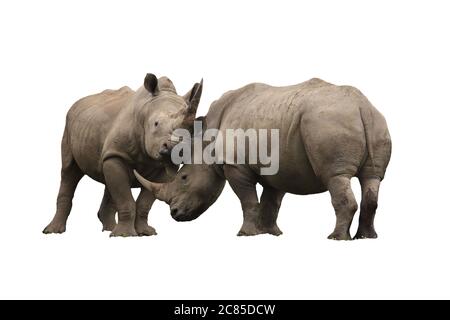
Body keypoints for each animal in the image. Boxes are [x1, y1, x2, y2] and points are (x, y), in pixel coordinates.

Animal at [43, 74, 202, 236]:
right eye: (156, 124)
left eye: (193, 131)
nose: (177, 149)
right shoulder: (117, 154)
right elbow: (125, 198)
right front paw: (124, 235)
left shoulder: (161, 169)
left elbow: (144, 201)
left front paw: (145, 232)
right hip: (69, 127)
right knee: (69, 171)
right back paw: (53, 231)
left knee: (107, 176)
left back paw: (109, 229)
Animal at [134, 79, 390, 240]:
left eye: (184, 178)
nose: (175, 214)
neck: (205, 142)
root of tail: (362, 106)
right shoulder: (279, 167)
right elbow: (271, 201)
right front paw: (271, 233)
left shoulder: (235, 165)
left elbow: (247, 199)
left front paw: (245, 234)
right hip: (375, 122)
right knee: (372, 178)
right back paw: (366, 238)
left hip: (327, 122)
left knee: (336, 176)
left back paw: (336, 238)